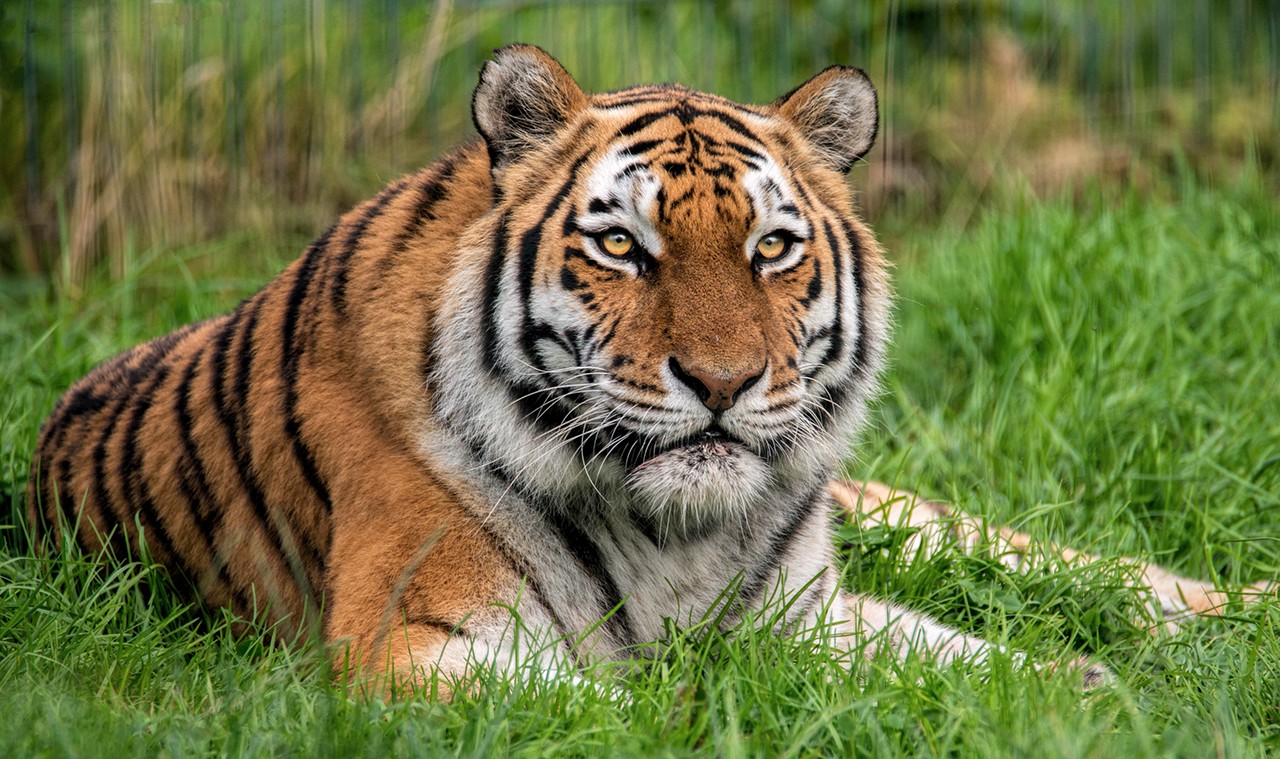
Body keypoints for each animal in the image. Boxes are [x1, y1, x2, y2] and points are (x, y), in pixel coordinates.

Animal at [24, 41, 1264, 691]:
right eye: (622, 245)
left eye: (770, 248)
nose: (720, 384)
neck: (677, 533)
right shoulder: (415, 646)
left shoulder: (810, 612)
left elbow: (982, 660)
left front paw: (1098, 696)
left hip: (903, 515)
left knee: (1089, 570)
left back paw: (1243, 615)